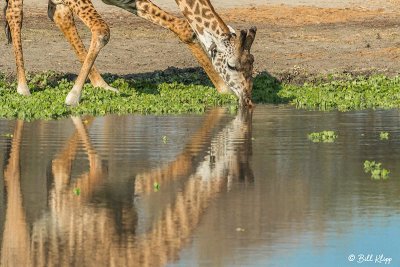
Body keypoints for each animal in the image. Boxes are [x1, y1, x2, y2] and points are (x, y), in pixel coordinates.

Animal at [3, 0, 256, 107]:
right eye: (232, 65)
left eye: (252, 64)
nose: (247, 99)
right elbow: (102, 30)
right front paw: (73, 96)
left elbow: (183, 27)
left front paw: (222, 89)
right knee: (15, 13)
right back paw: (23, 87)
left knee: (58, 15)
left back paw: (102, 85)